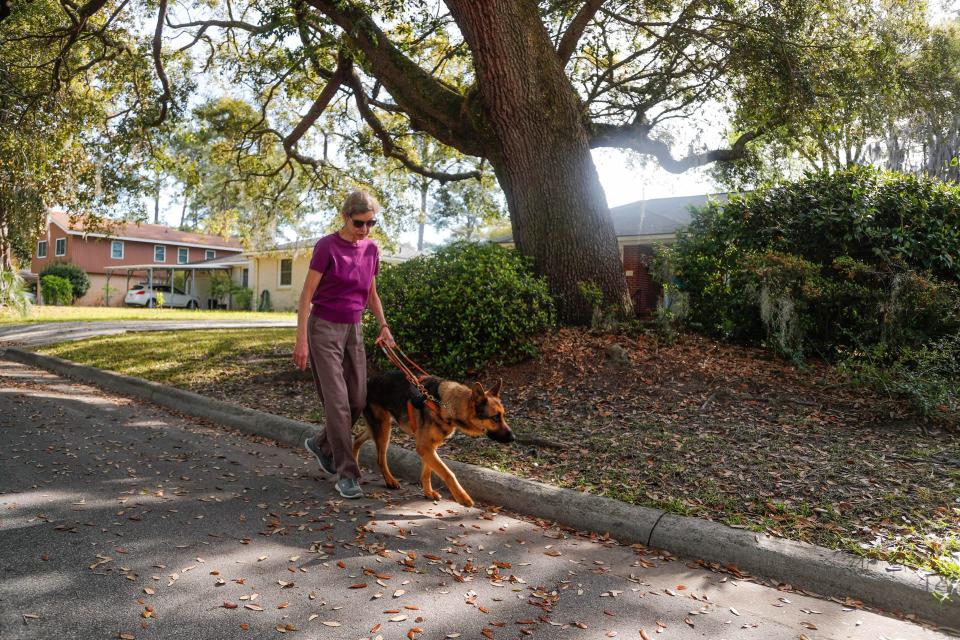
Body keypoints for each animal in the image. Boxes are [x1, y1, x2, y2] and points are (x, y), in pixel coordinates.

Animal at [354, 368, 516, 508]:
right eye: (495, 418)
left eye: (502, 415)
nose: (513, 437)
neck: (445, 404)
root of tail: (369, 380)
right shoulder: (424, 446)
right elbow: (448, 473)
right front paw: (462, 497)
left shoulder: (430, 446)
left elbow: (427, 472)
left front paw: (428, 492)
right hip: (383, 429)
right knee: (380, 458)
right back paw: (389, 480)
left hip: (380, 427)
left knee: (356, 438)